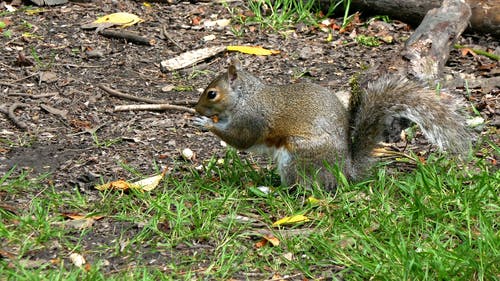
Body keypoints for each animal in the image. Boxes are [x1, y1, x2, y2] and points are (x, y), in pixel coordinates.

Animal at [193, 60, 470, 189]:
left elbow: (241, 139)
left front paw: (206, 123)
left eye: (212, 94)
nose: (196, 108)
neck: (245, 97)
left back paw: (272, 189)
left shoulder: (251, 119)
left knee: (301, 186)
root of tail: (345, 171)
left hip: (297, 156)